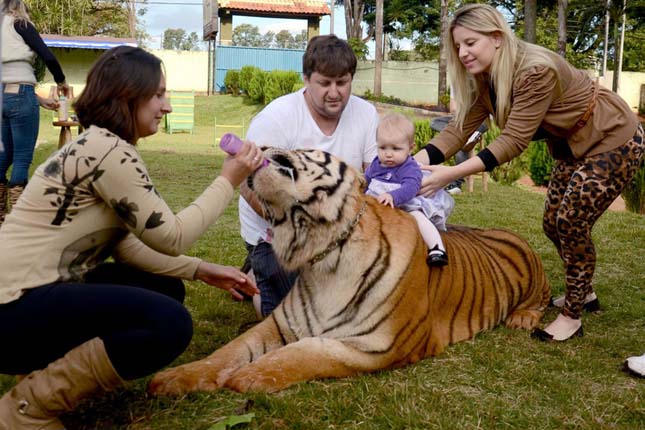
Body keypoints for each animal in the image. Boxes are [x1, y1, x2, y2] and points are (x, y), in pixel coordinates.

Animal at [148, 149, 552, 396]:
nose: (258, 147)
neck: (322, 250)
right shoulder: (278, 323)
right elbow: (228, 351)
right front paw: (173, 378)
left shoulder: (376, 346)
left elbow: (305, 352)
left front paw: (249, 376)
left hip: (535, 280)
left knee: (542, 301)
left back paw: (523, 318)